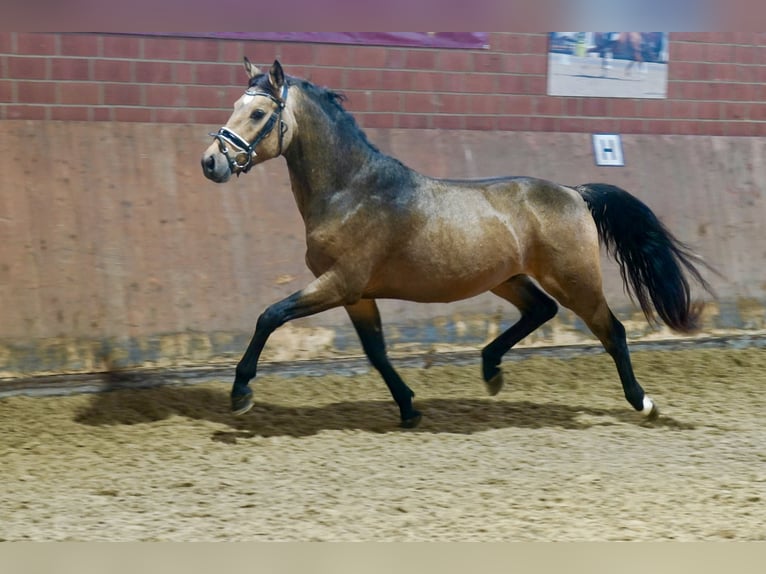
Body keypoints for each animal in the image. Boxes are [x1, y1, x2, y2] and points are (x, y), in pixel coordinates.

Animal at [201, 59, 716, 428]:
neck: (351, 189)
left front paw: (241, 394)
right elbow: (376, 352)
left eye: (259, 113)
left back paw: (643, 403)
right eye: (234, 107)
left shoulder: (338, 284)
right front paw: (409, 409)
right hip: (507, 278)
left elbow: (270, 316)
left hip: (575, 281)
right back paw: (490, 370)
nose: (211, 161)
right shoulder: (357, 295)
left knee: (612, 331)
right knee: (540, 310)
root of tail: (574, 193)